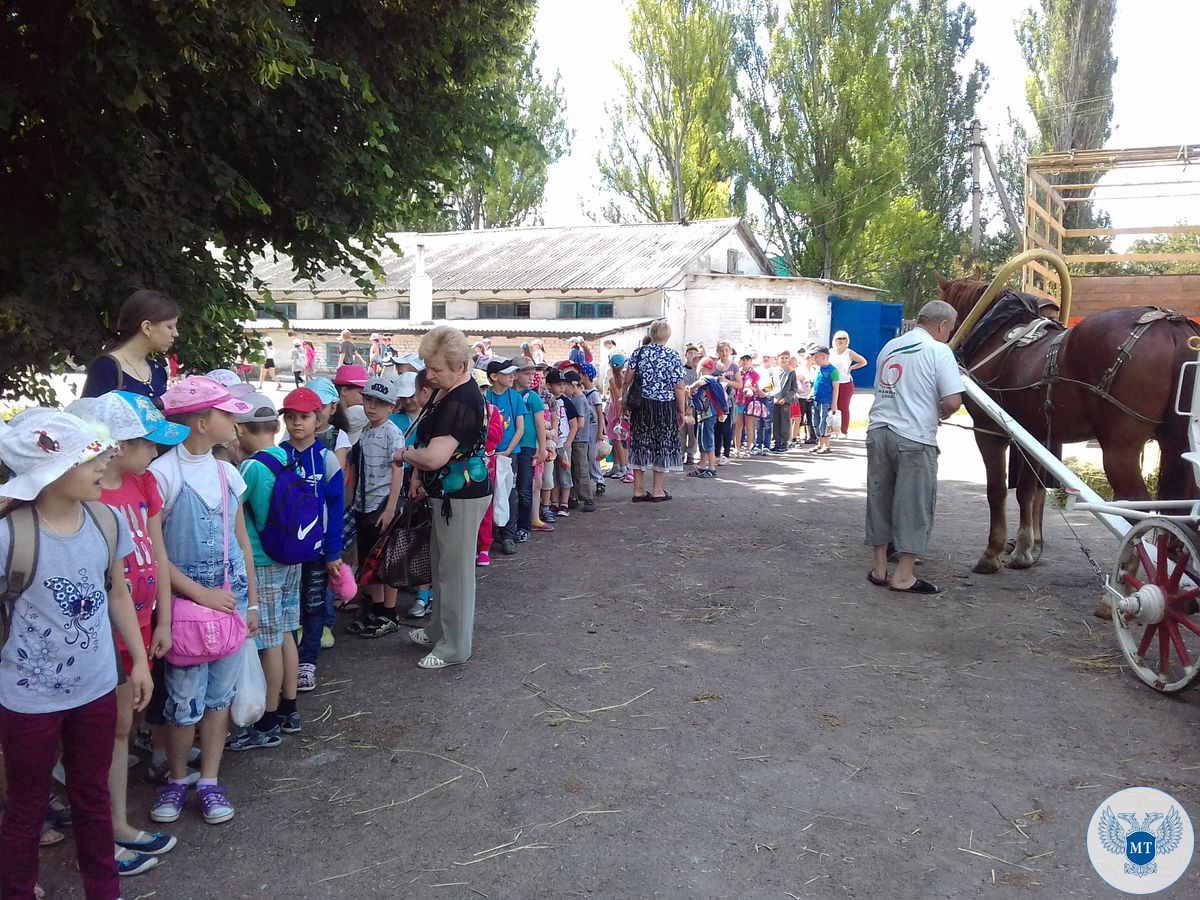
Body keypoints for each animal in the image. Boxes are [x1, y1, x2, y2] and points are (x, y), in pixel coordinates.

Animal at [936, 271, 1200, 578]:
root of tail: (1172, 327)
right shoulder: (1033, 437)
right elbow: (1027, 491)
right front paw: (1023, 551)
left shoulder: (990, 432)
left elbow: (997, 491)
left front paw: (992, 554)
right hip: (1176, 442)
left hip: (1119, 450)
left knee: (1138, 511)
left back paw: (1127, 576)